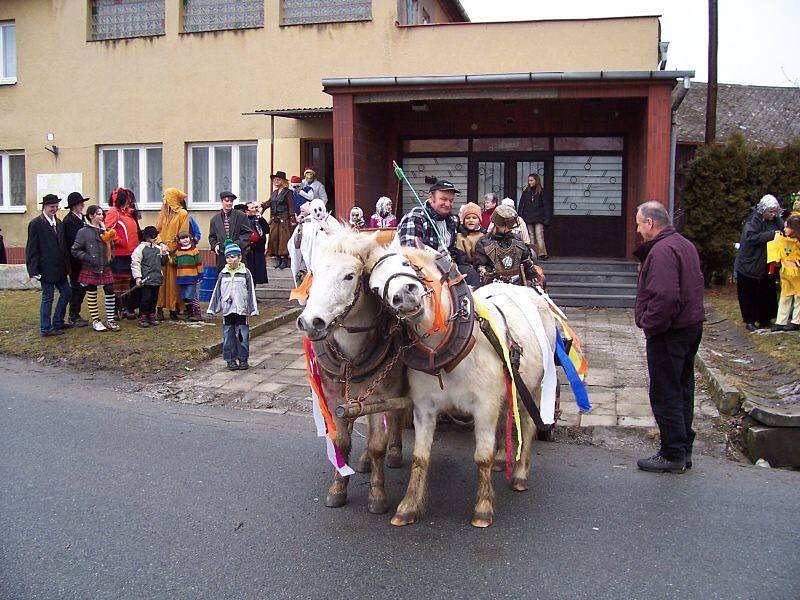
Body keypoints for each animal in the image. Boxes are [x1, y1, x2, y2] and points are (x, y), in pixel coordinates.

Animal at [364, 246, 556, 528]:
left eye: (406, 264)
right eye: (376, 290)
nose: (404, 296)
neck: (446, 351)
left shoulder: (484, 405)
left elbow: (482, 457)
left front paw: (483, 508)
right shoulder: (424, 407)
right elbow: (420, 457)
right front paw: (408, 507)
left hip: (532, 387)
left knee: (529, 424)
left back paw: (520, 474)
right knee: (505, 418)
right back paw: (502, 458)